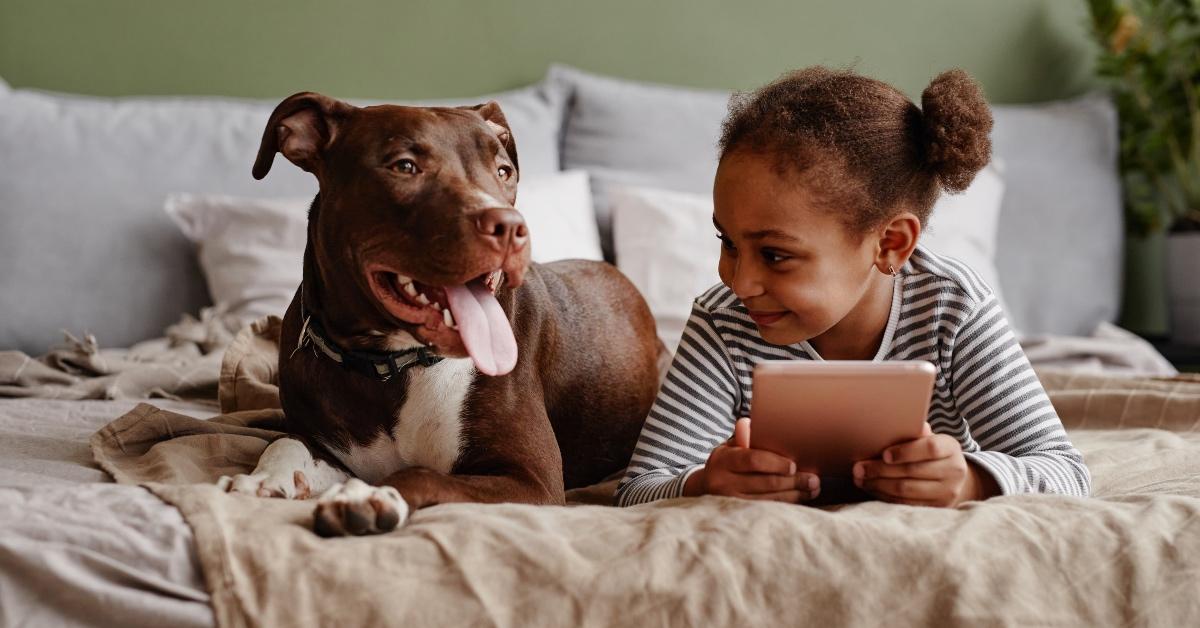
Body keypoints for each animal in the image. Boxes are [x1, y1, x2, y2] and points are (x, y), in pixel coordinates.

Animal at [220, 93, 662, 535]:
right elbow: (285, 443)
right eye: (405, 166)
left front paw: (371, 496)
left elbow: (422, 474)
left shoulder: (532, 479)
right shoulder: (325, 444)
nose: (511, 227)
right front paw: (264, 479)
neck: (386, 365)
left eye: (504, 172)